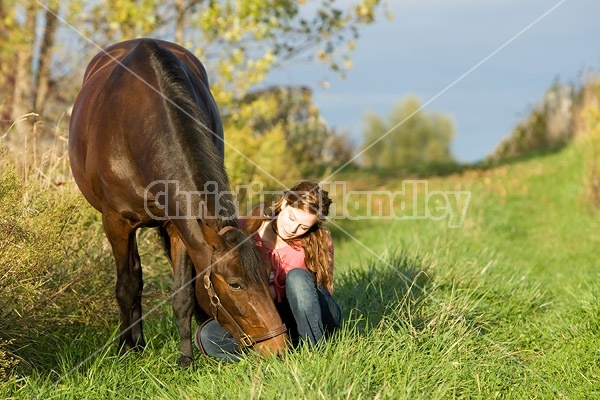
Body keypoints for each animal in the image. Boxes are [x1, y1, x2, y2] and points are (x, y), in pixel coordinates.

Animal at [68, 39, 288, 368]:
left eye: (267, 274)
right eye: (235, 283)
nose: (279, 347)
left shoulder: (178, 225)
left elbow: (183, 293)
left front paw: (186, 357)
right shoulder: (116, 223)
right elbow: (125, 287)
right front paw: (124, 349)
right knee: (134, 279)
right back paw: (135, 344)